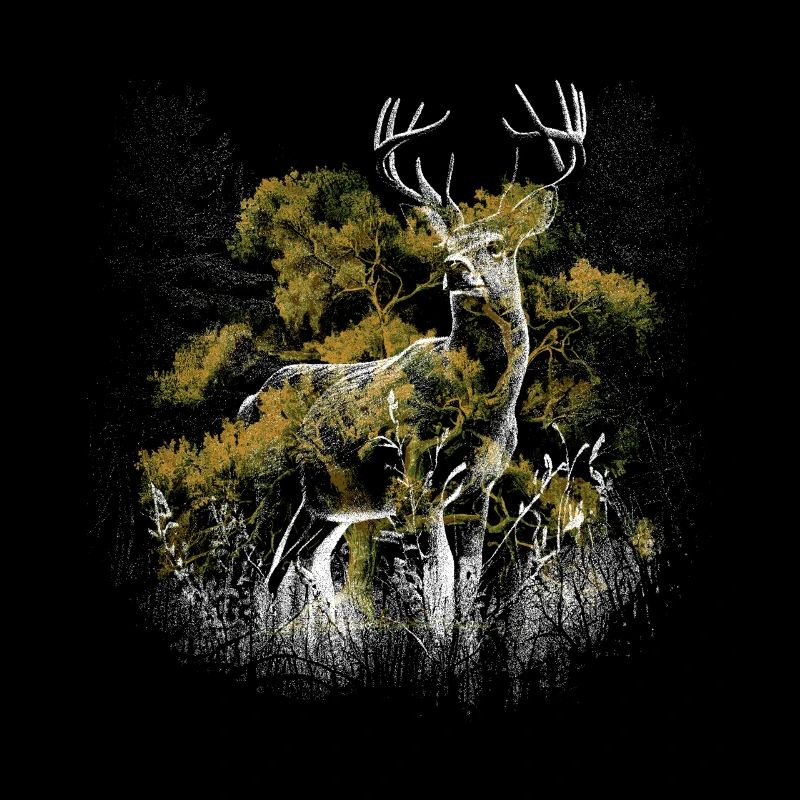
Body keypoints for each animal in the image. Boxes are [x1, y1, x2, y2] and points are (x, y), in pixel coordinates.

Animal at [238, 80, 587, 640]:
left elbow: (468, 583)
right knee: (258, 569)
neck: (484, 407)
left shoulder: (478, 488)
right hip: (271, 485)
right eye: (447, 244)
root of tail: (248, 403)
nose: (455, 267)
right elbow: (438, 587)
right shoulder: (417, 480)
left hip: (329, 506)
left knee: (299, 565)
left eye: (495, 245)